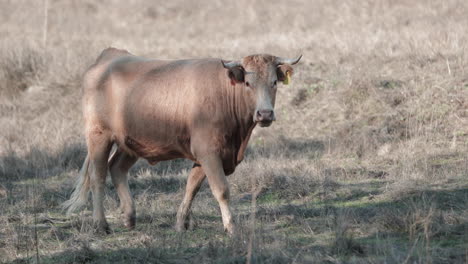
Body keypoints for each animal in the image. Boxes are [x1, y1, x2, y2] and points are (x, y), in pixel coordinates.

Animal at [62, 47, 302, 233]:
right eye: (248, 83)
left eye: (274, 82)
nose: (265, 114)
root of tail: (109, 56)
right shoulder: (208, 152)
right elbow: (221, 189)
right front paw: (231, 227)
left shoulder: (205, 155)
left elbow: (192, 187)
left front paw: (180, 223)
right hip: (98, 135)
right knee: (98, 176)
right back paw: (101, 225)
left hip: (130, 142)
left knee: (117, 168)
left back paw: (130, 217)